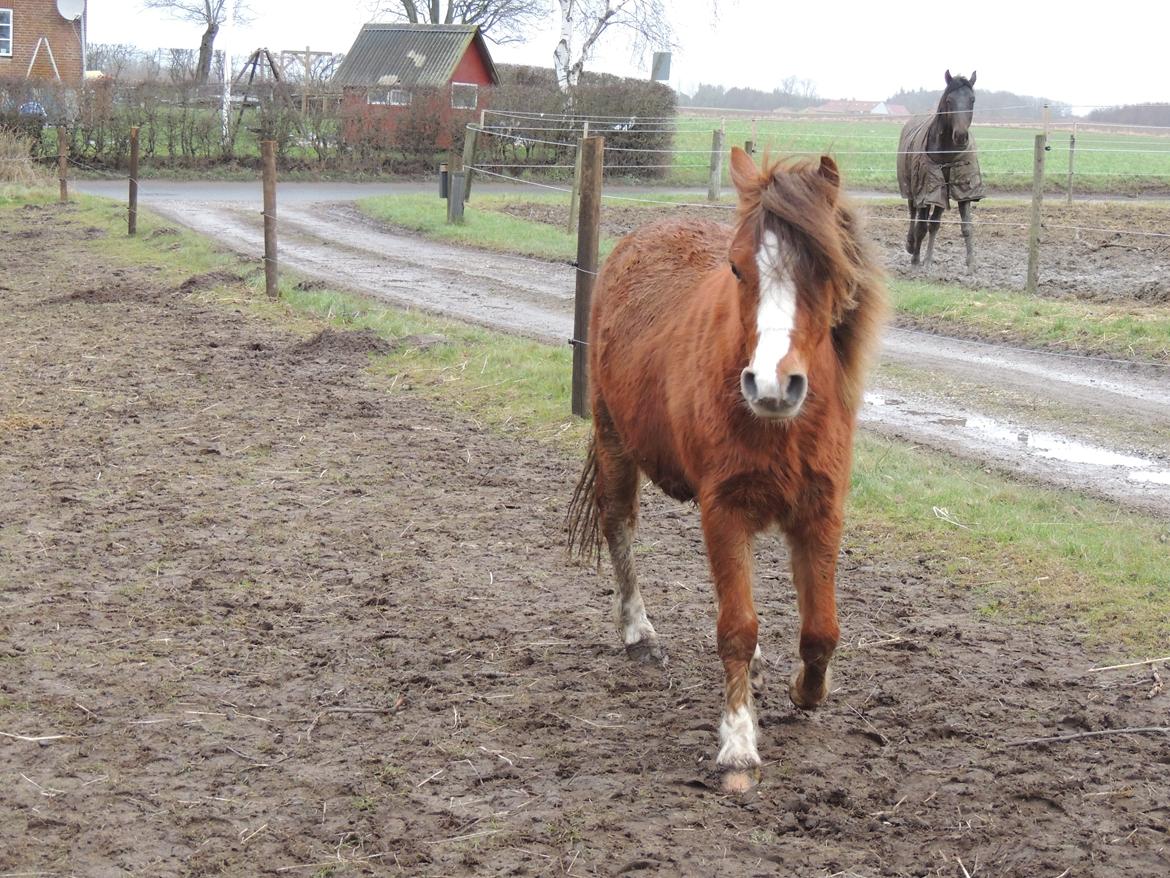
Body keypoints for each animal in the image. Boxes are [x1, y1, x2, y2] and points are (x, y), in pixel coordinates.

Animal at [567, 148, 887, 793]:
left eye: (823, 270)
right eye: (738, 269)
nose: (771, 384)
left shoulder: (820, 510)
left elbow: (821, 630)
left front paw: (806, 690)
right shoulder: (724, 508)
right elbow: (736, 627)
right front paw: (739, 746)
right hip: (615, 443)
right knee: (619, 527)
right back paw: (638, 634)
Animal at [897, 70, 985, 271]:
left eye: (972, 99)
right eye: (949, 100)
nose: (960, 136)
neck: (946, 153)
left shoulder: (961, 188)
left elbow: (964, 225)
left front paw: (971, 262)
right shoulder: (925, 191)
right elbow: (921, 226)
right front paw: (916, 261)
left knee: (933, 222)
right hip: (911, 189)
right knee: (913, 214)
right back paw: (910, 245)